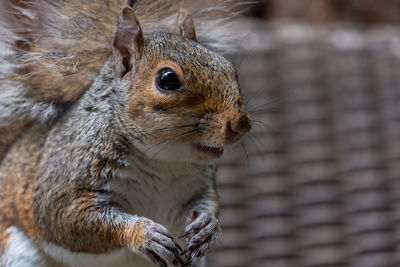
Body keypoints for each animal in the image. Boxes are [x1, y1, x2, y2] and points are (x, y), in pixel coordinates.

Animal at [0, 0, 250, 267]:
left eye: (228, 66)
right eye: (167, 79)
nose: (241, 125)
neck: (164, 160)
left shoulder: (197, 187)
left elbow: (208, 204)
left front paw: (209, 227)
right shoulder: (63, 180)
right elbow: (62, 216)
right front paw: (143, 233)